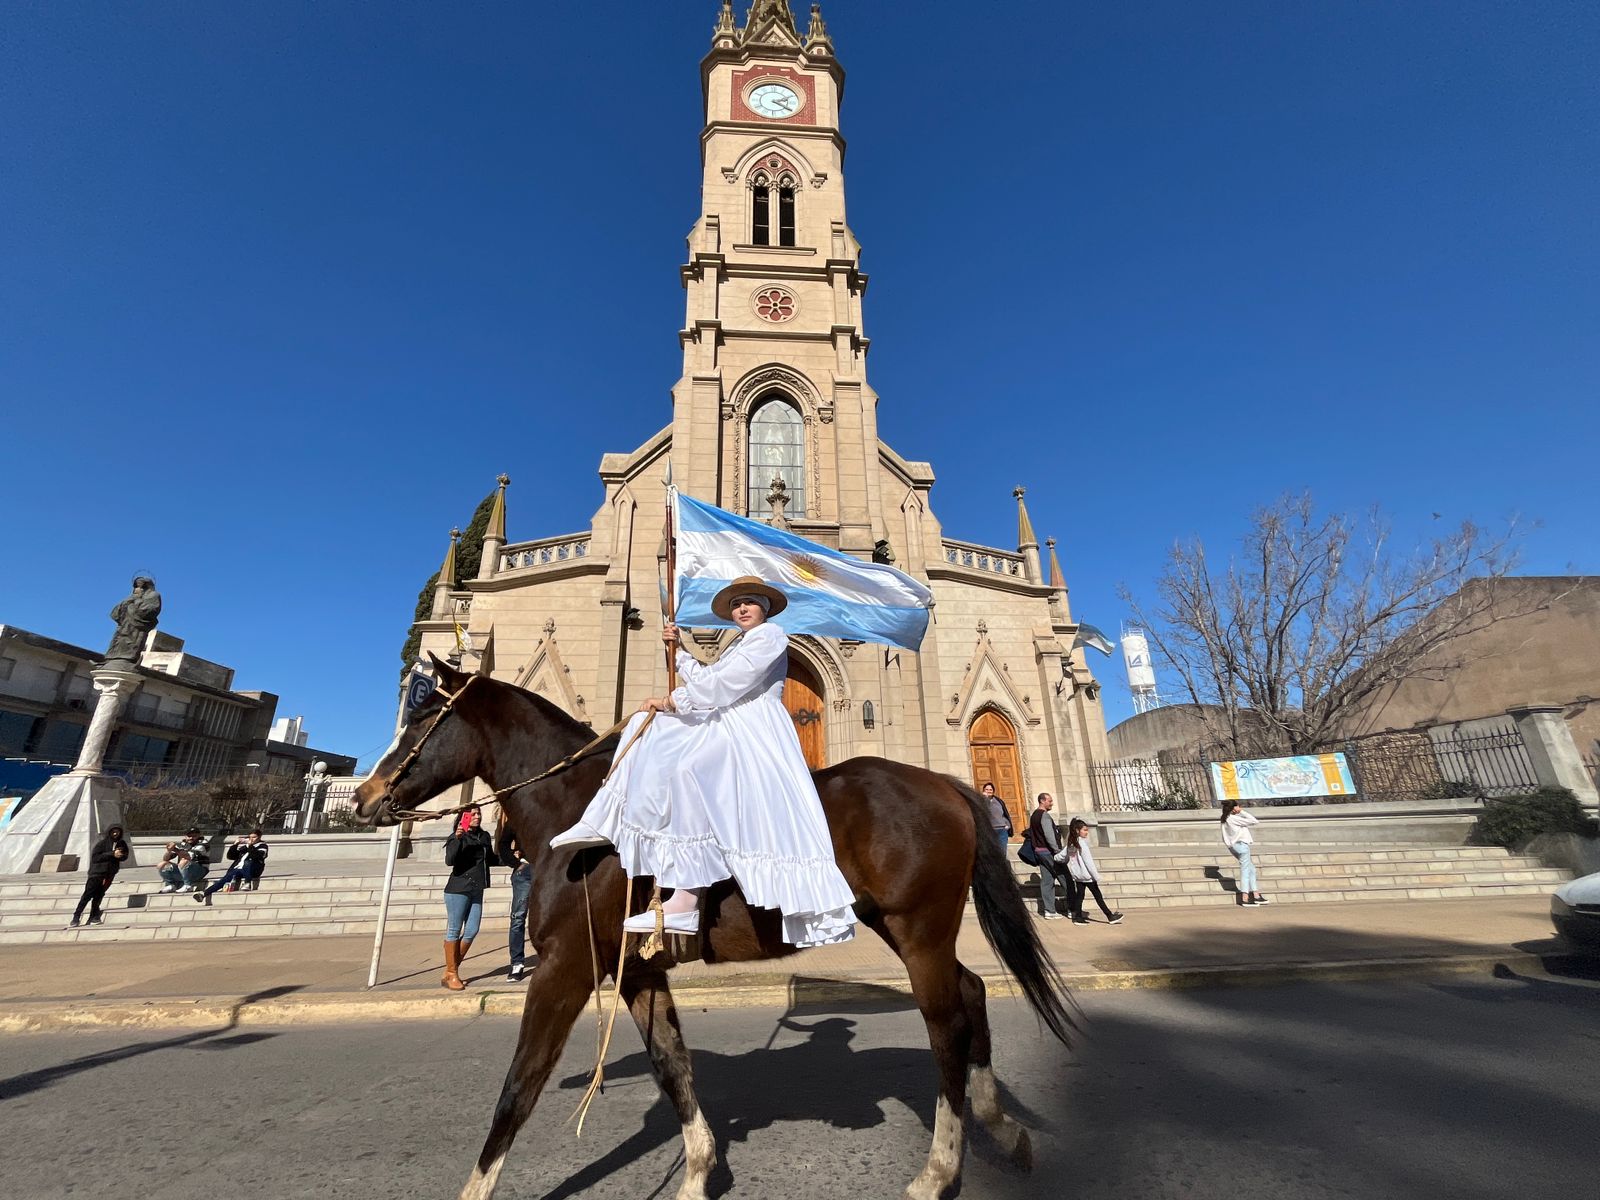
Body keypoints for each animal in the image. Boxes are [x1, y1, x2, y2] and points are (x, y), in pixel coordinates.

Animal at [352, 662, 1075, 1200]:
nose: (363, 797)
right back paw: (1000, 1128)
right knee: (973, 994)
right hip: (909, 931)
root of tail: (949, 784)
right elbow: (672, 1067)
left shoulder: (567, 965)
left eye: (422, 717)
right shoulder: (637, 969)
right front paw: (699, 1172)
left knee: (947, 1025)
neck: (582, 810)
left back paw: (939, 1169)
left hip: (918, 930)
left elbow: (517, 1088)